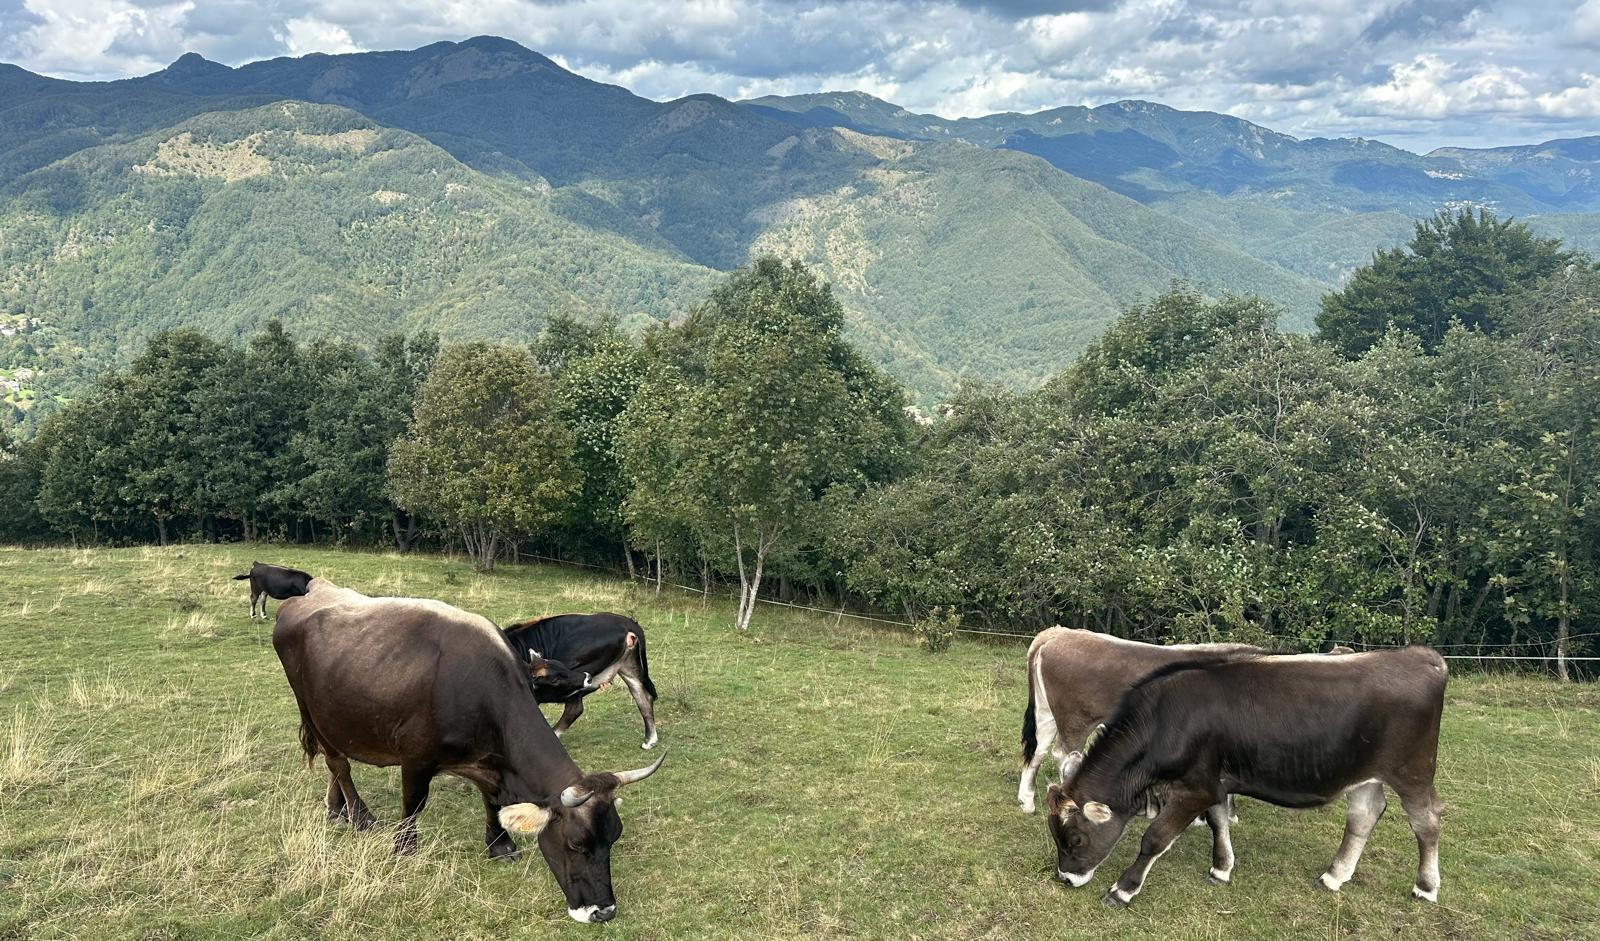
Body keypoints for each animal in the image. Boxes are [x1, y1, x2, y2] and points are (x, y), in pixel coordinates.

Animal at [512, 614, 662, 752]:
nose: (587, 677)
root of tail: (626, 622)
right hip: (628, 667)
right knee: (643, 697)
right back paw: (650, 740)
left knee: (575, 708)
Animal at [1043, 646, 1446, 902]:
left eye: (1075, 839)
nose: (1066, 878)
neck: (1166, 720)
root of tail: (1421, 656)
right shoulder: (1212, 782)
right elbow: (1219, 822)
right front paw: (1221, 868)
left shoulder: (1193, 789)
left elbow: (1155, 838)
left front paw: (1123, 889)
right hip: (1366, 773)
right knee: (1364, 814)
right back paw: (1334, 875)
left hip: (1413, 770)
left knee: (1426, 822)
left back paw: (1425, 887)